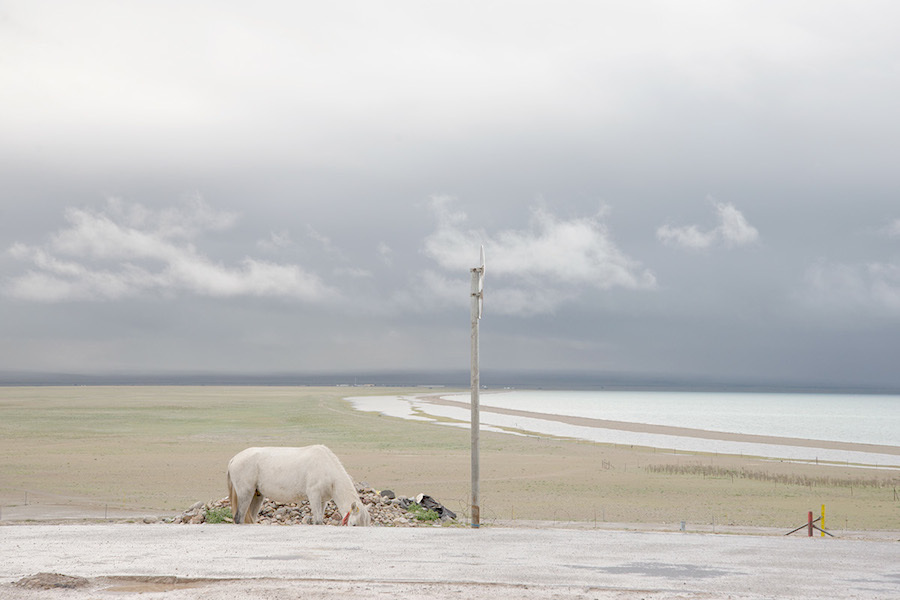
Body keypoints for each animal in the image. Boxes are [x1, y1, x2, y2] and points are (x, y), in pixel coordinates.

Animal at [227, 446, 370, 524]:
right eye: (354, 525)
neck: (327, 467)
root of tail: (234, 459)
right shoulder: (314, 495)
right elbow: (318, 521)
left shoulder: (323, 500)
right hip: (245, 493)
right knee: (239, 517)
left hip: (257, 496)